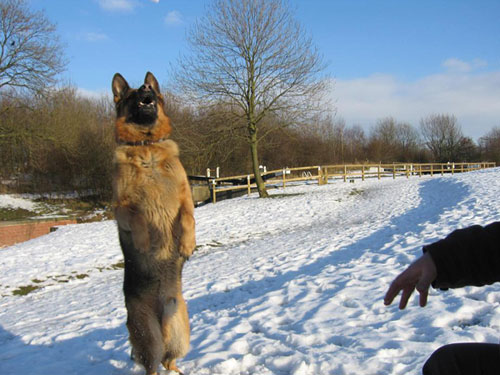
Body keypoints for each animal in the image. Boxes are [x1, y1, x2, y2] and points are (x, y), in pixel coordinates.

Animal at [111, 72, 195, 374]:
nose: (146, 88)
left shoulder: (185, 196)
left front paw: (187, 244)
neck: (147, 146)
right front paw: (144, 241)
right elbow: (138, 217)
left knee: (169, 360)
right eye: (133, 93)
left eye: (147, 89)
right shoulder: (120, 207)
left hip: (180, 331)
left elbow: (188, 218)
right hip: (149, 336)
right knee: (153, 365)